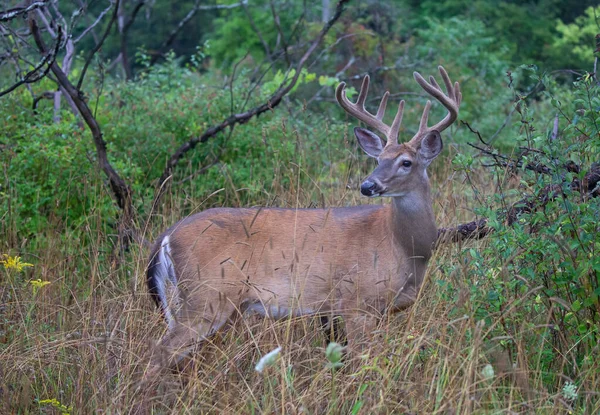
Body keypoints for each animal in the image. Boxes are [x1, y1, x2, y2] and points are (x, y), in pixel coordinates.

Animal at [148, 66, 462, 372]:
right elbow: (362, 364)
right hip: (207, 296)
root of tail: (165, 237)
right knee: (159, 354)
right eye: (378, 159)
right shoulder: (357, 301)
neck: (404, 246)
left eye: (406, 162)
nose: (367, 185)